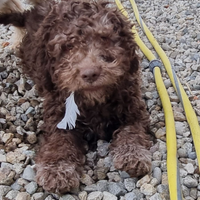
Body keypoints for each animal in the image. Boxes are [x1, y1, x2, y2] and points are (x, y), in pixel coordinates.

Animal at [0, 0, 153, 194]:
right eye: (68, 47)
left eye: (104, 38)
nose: (90, 73)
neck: (94, 100)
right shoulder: (58, 115)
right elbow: (59, 141)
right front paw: (57, 170)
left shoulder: (133, 107)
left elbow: (132, 129)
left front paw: (132, 154)